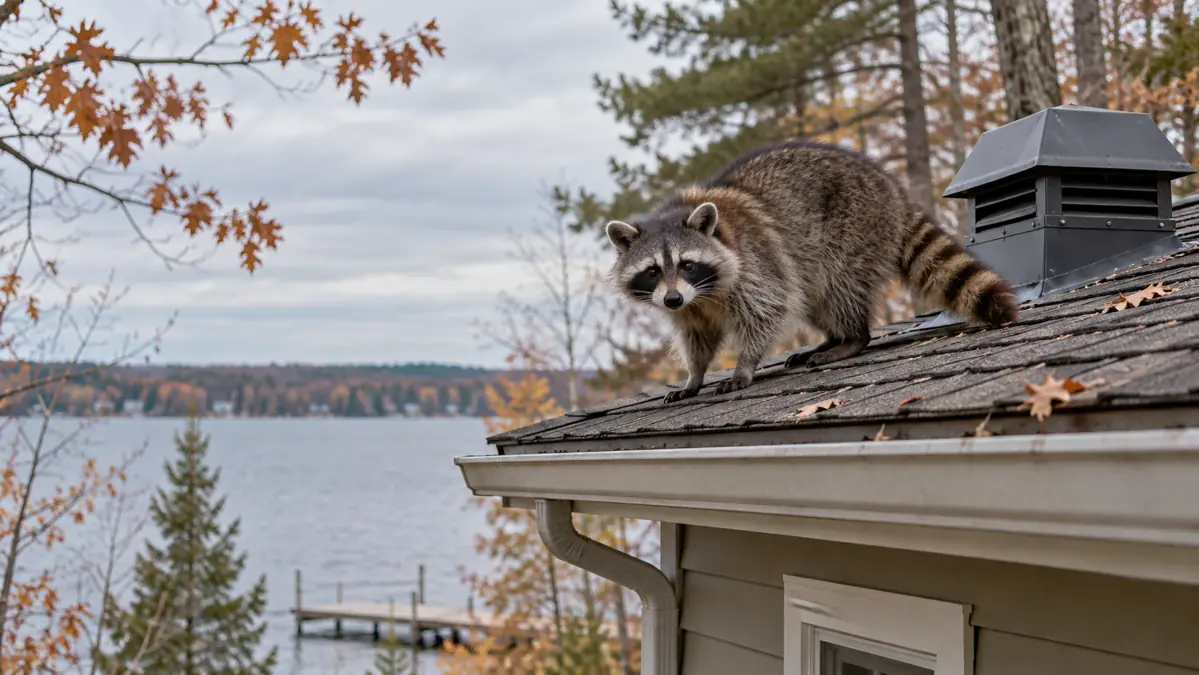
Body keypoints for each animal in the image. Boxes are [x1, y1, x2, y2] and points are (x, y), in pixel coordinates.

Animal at [604, 140, 1020, 404]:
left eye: (688, 264)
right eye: (653, 271)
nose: (672, 299)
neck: (702, 294)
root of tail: (893, 192)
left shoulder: (755, 263)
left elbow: (766, 310)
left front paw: (743, 366)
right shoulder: (690, 308)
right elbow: (696, 337)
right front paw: (694, 376)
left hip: (854, 227)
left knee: (837, 286)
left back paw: (852, 338)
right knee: (814, 298)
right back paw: (833, 337)